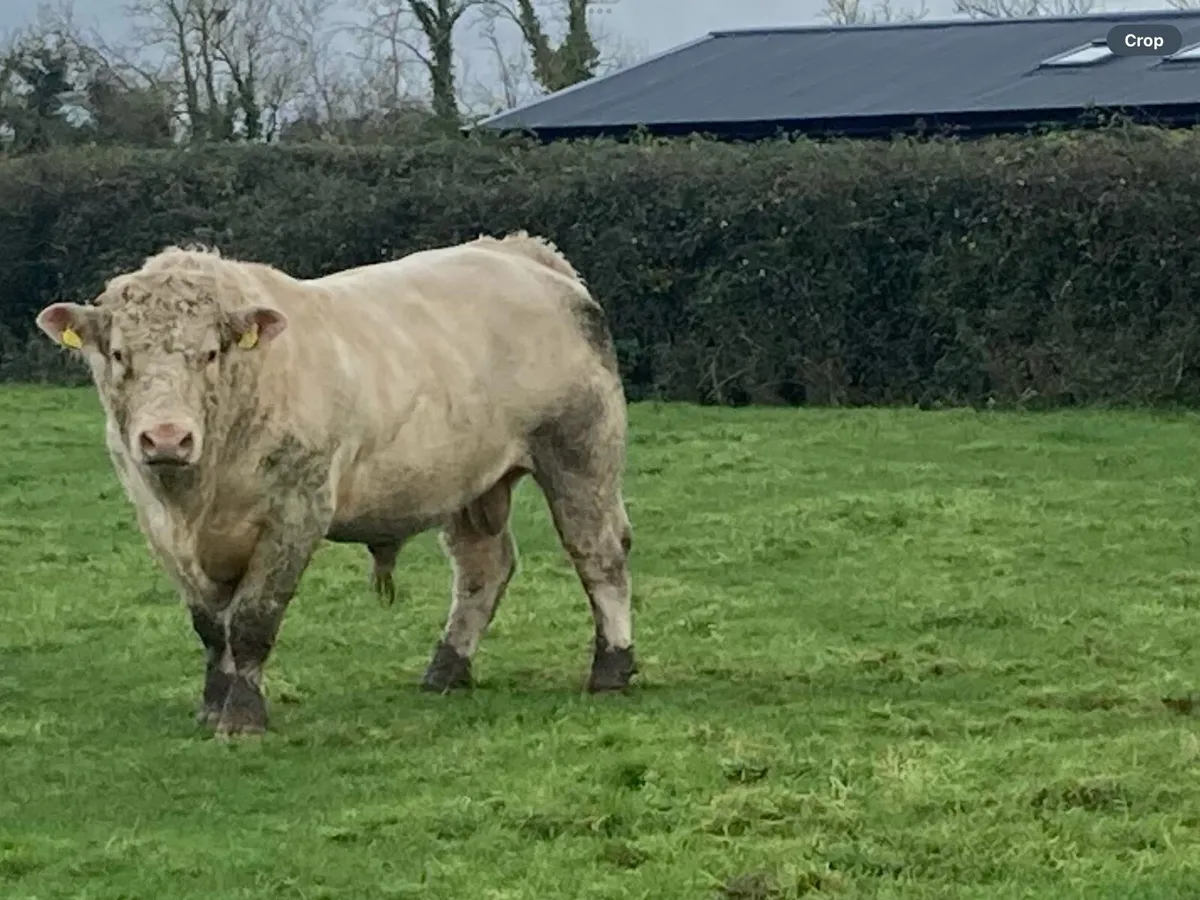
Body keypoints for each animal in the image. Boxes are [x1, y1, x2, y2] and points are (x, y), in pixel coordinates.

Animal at [33, 231, 636, 737]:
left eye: (209, 353)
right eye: (119, 354)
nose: (166, 438)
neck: (197, 495)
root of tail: (522, 253)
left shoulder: (297, 511)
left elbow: (251, 619)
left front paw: (243, 717)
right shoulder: (158, 524)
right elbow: (209, 626)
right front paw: (211, 706)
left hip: (579, 452)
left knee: (599, 553)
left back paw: (612, 667)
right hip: (471, 480)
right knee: (482, 568)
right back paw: (446, 670)